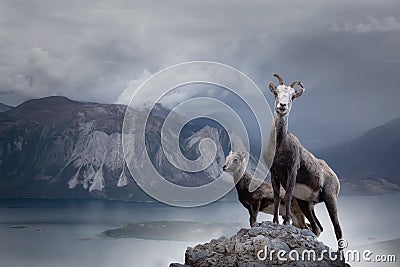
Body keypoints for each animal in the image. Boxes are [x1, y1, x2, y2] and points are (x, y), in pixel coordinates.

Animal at [264, 74, 342, 246]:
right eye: (276, 92)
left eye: (293, 96)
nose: (282, 106)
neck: (280, 145)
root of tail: (335, 178)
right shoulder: (274, 173)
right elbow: (277, 195)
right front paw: (275, 222)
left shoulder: (292, 171)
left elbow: (287, 194)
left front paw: (286, 222)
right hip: (306, 204)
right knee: (317, 227)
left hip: (330, 199)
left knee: (338, 230)